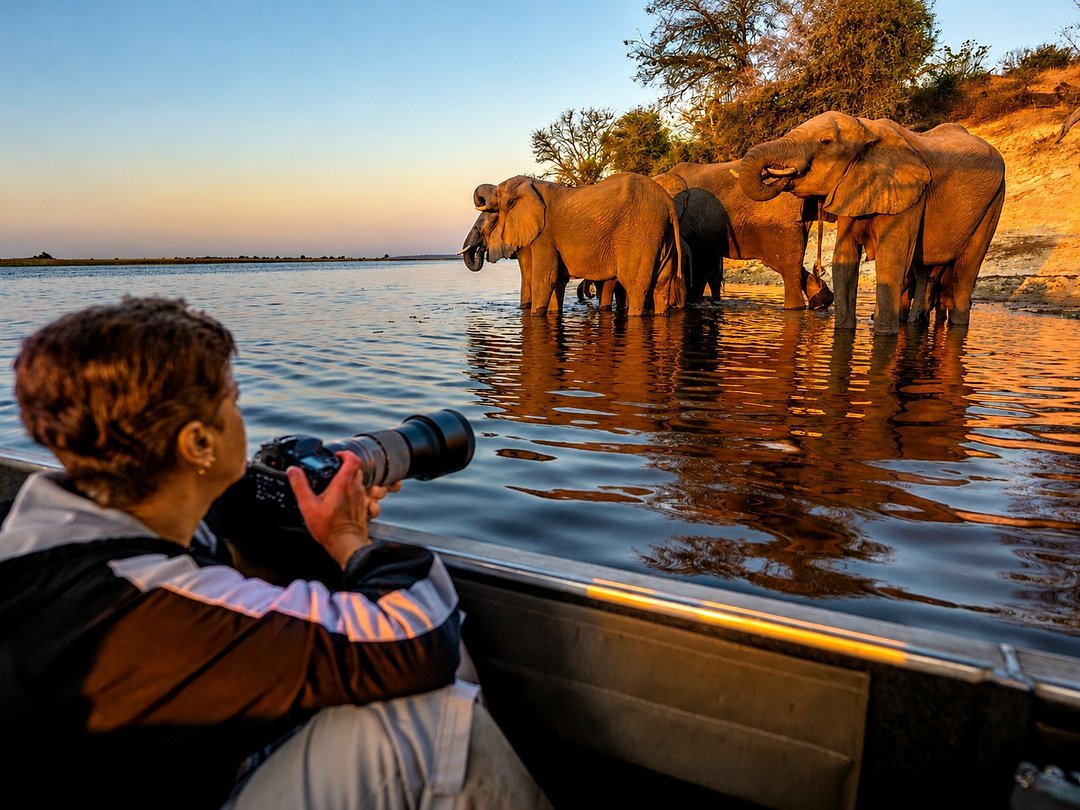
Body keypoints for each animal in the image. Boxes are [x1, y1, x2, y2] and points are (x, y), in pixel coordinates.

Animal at [463, 173, 685, 316]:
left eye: (496, 197)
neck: (532, 185)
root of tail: (668, 202)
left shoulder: (544, 234)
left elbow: (545, 279)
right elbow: (557, 281)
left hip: (639, 232)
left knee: (635, 285)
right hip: (662, 235)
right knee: (662, 284)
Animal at [738, 111, 1006, 334]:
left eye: (825, 142)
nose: (781, 174)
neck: (867, 130)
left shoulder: (910, 193)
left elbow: (890, 261)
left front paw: (884, 335)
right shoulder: (850, 186)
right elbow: (844, 261)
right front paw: (844, 332)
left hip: (994, 202)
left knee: (965, 271)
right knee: (923, 271)